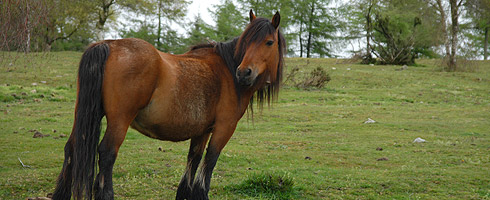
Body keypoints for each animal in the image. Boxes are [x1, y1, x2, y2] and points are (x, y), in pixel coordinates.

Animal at [51, 9, 286, 200]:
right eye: (247, 41)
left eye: (269, 42)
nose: (244, 73)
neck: (226, 70)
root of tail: (107, 44)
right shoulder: (224, 128)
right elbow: (209, 163)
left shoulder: (202, 131)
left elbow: (193, 161)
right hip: (119, 121)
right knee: (107, 153)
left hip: (85, 115)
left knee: (71, 149)